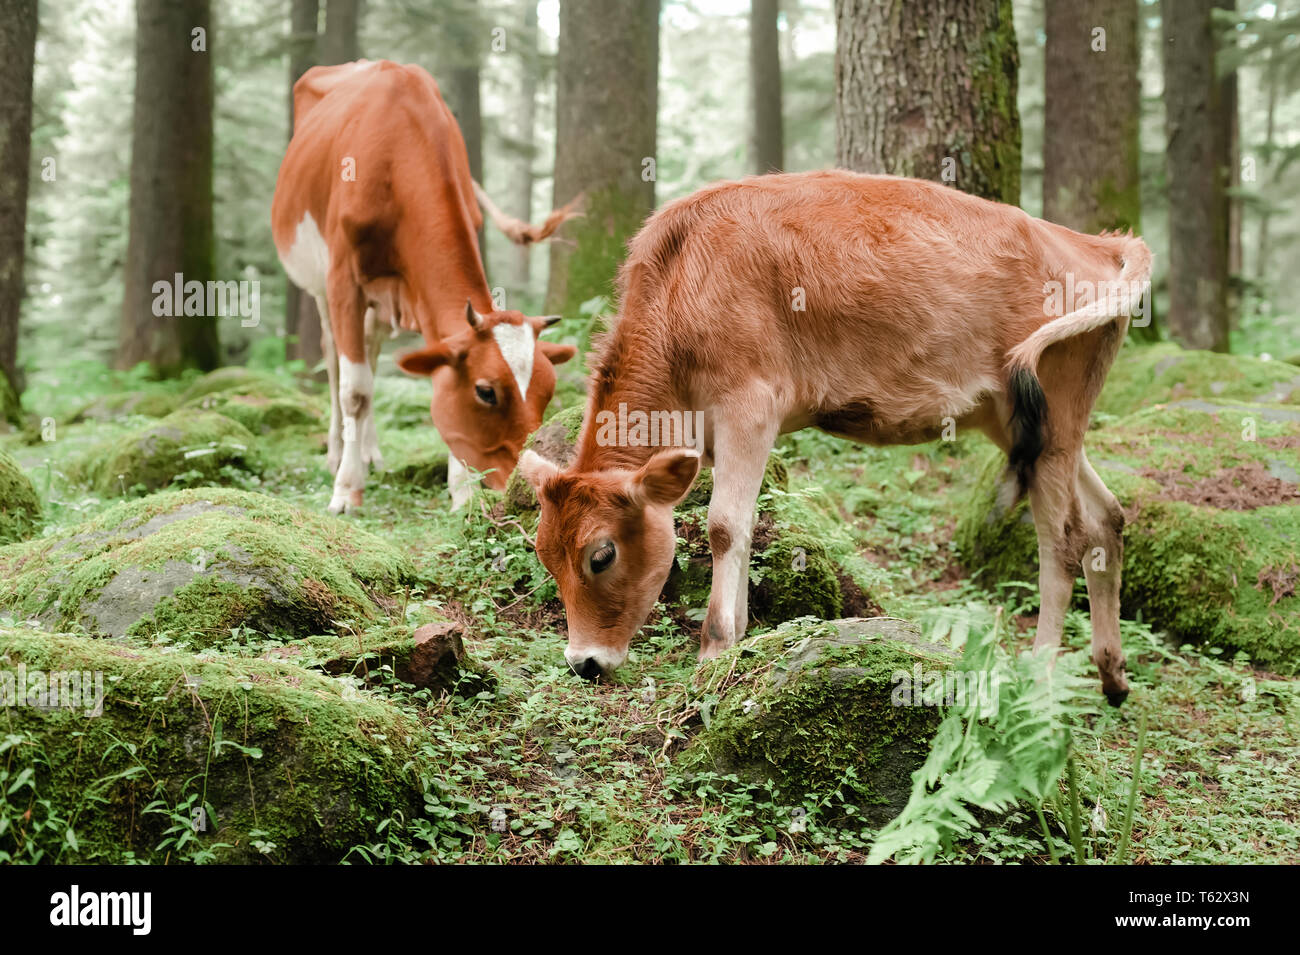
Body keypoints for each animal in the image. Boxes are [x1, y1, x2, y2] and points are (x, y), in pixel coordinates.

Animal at [271, 60, 578, 513]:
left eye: (549, 391)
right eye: (486, 392)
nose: (532, 483)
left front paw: (462, 492)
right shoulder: (343, 281)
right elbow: (354, 391)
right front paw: (346, 489)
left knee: (371, 355)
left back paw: (370, 453)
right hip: (318, 284)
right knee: (334, 359)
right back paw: (337, 453)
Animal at [518, 169, 1152, 704]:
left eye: (602, 554)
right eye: (544, 554)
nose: (584, 662)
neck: (682, 279)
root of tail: (1099, 243)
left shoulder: (750, 407)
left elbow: (724, 526)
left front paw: (715, 652)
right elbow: (740, 526)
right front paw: (738, 641)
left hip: (1055, 414)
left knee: (1063, 540)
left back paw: (1039, 678)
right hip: (1031, 428)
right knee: (1106, 519)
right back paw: (1113, 677)